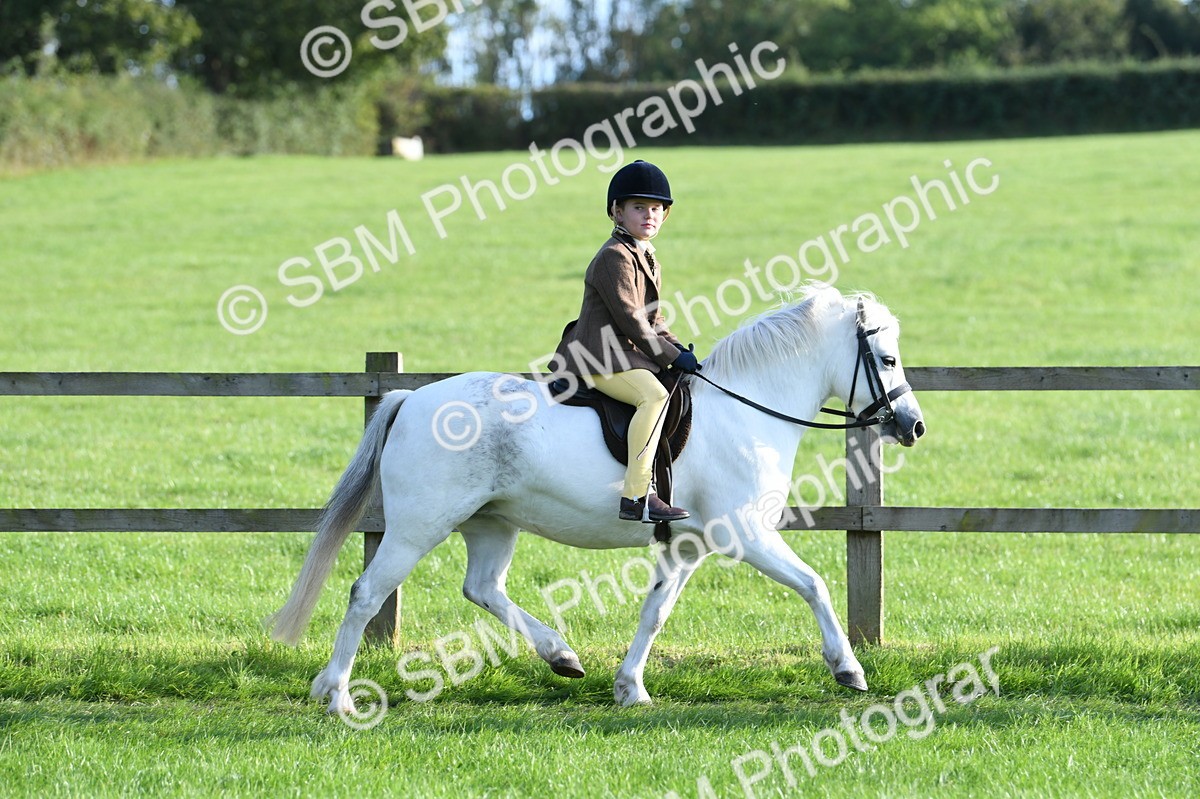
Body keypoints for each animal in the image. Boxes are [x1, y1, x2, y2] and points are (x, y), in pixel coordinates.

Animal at [268, 283, 925, 712]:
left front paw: (630, 688)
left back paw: (561, 656)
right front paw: (849, 669)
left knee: (482, 588)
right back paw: (337, 695)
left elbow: (654, 612)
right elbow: (814, 584)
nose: (913, 426)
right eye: (888, 358)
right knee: (366, 594)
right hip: (417, 526)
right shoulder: (746, 534)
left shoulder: (686, 547)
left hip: (491, 523)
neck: (747, 409)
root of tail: (410, 399)